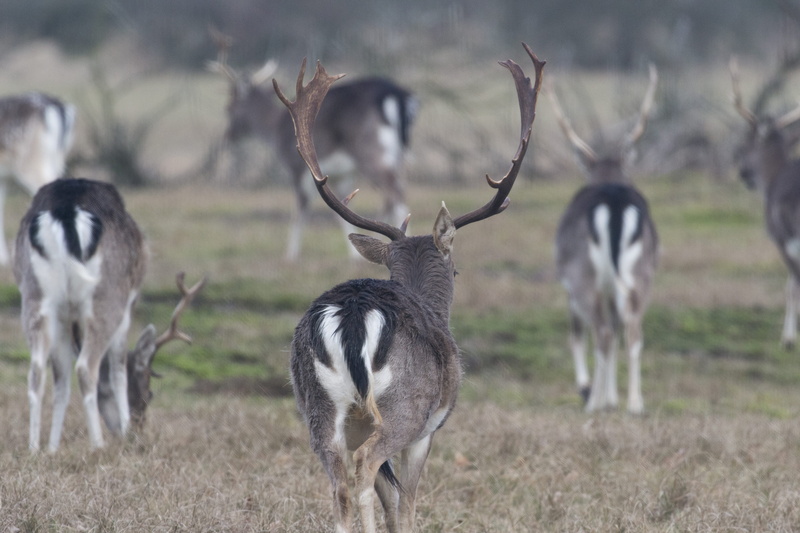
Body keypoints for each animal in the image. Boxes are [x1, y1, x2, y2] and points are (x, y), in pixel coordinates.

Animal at [208, 35, 418, 261]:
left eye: (229, 108)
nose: (228, 135)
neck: (274, 130)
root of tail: (397, 95)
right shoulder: (343, 174)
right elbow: (341, 210)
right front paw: (354, 254)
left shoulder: (295, 165)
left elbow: (300, 210)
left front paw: (291, 254)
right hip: (398, 153)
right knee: (396, 191)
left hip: (371, 150)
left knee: (394, 192)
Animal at [274, 44, 544, 533]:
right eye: (456, 271)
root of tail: (353, 314)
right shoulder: (430, 426)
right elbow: (406, 500)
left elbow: (389, 494)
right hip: (404, 406)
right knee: (363, 468)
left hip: (316, 405)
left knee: (339, 481)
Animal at [547, 64, 659, 414]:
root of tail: (615, 202)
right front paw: (612, 397)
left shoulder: (567, 284)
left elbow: (575, 334)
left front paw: (592, 392)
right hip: (641, 274)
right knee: (632, 330)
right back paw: (635, 403)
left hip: (583, 275)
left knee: (604, 332)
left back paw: (594, 403)